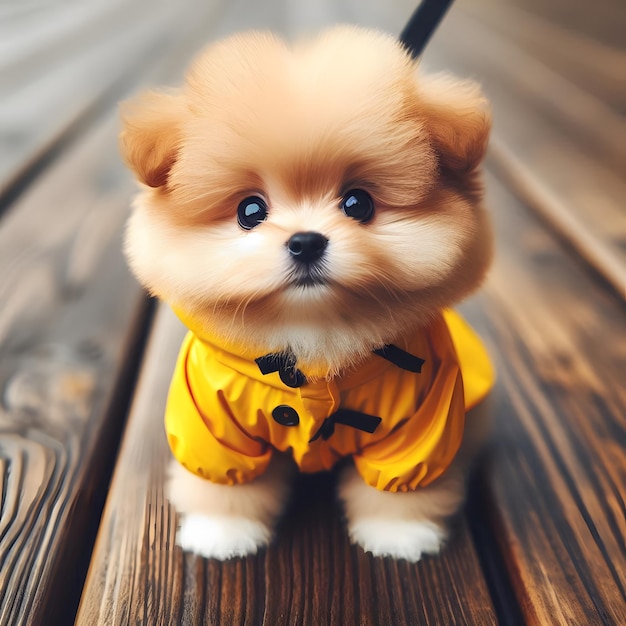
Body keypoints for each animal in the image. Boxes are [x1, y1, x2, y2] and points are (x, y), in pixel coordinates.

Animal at [119, 26, 492, 560]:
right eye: (250, 211)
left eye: (358, 203)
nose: (306, 240)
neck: (314, 335)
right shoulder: (211, 423)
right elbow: (227, 483)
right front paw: (223, 532)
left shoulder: (424, 423)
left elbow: (400, 485)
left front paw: (399, 534)